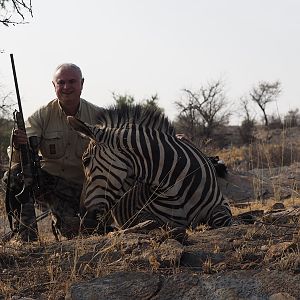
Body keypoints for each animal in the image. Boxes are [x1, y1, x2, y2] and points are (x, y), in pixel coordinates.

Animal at [68, 105, 232, 232]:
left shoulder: (221, 206)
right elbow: (154, 222)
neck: (175, 185)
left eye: (86, 161)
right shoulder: (139, 212)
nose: (82, 216)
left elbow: (223, 220)